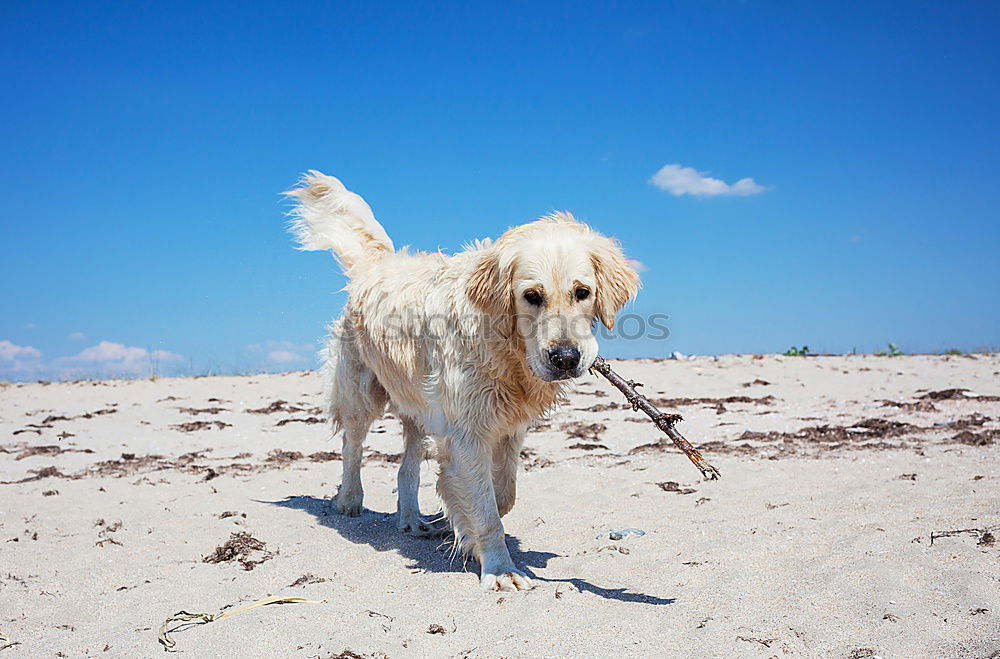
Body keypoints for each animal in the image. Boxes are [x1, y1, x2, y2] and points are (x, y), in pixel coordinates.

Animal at [288, 171, 640, 592]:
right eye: (531, 296)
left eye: (582, 292)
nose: (566, 358)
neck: (508, 352)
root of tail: (378, 265)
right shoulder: (467, 430)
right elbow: (486, 508)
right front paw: (500, 568)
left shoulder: (508, 427)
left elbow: (501, 496)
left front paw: (452, 521)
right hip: (362, 392)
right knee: (351, 446)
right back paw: (349, 500)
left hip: (419, 408)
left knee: (406, 467)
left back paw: (411, 519)